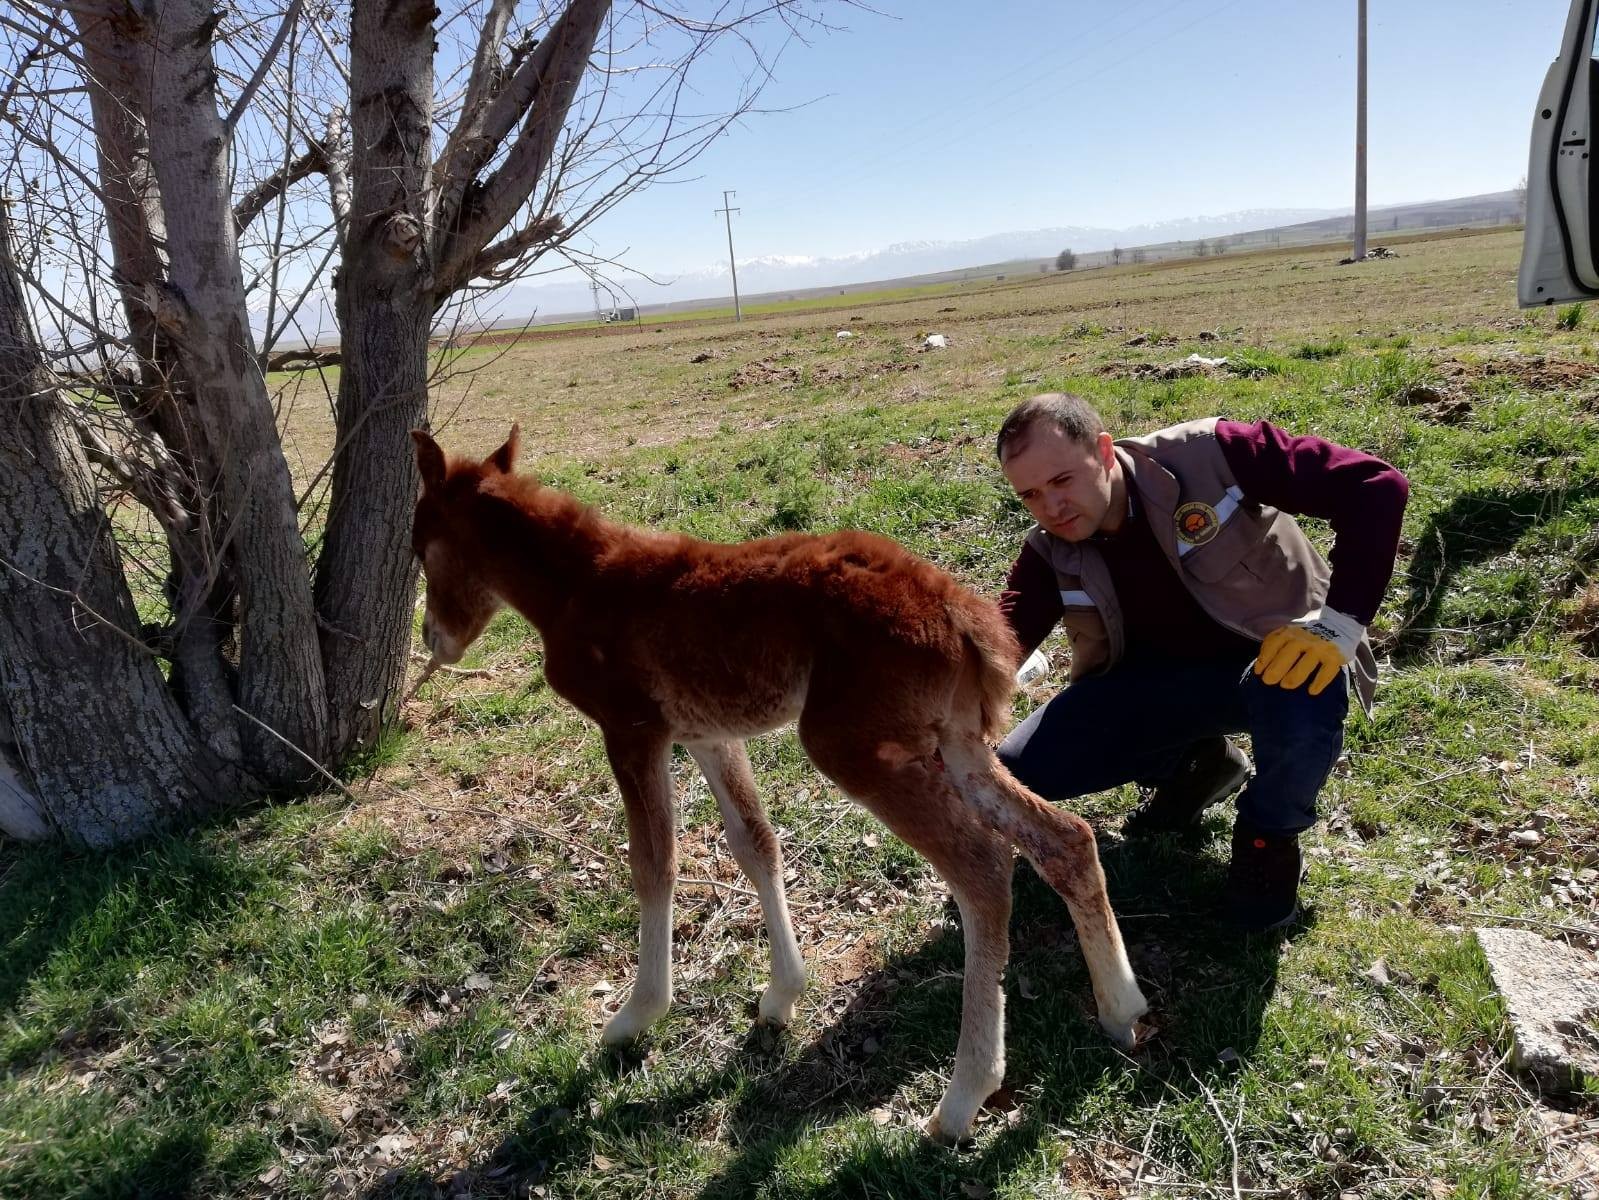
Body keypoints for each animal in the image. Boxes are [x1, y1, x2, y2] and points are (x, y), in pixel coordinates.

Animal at [406, 428, 1144, 1139]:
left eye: (419, 547)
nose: (433, 639)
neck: (575, 587)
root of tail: (963, 614)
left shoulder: (632, 729)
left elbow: (653, 863)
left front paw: (638, 1014)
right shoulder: (706, 734)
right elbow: (754, 843)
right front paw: (782, 994)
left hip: (851, 747)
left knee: (985, 869)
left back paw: (963, 1097)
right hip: (956, 744)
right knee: (1063, 838)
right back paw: (1121, 1009)